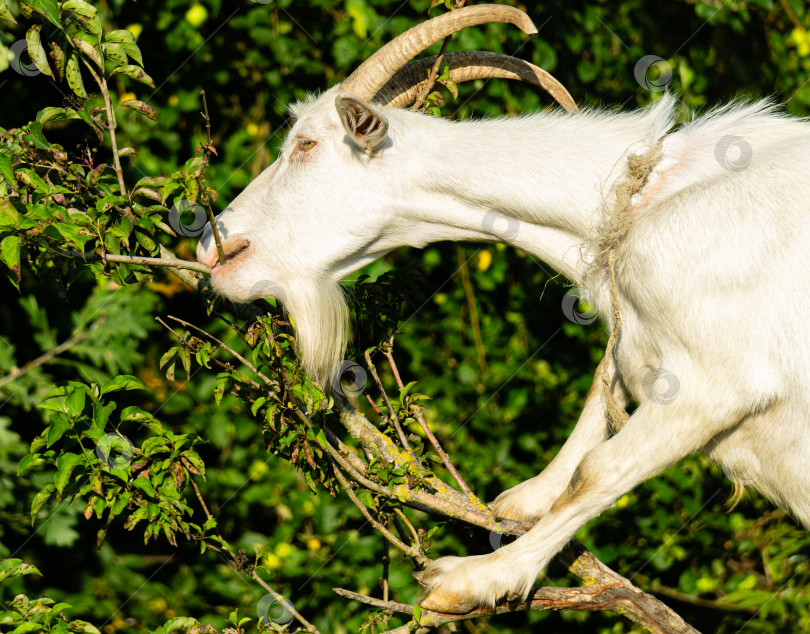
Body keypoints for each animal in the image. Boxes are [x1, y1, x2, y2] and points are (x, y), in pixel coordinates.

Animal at [197, 3, 808, 612]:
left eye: (305, 144)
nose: (214, 247)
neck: (639, 199)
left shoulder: (718, 380)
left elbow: (600, 470)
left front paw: (471, 580)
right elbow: (601, 390)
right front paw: (526, 499)